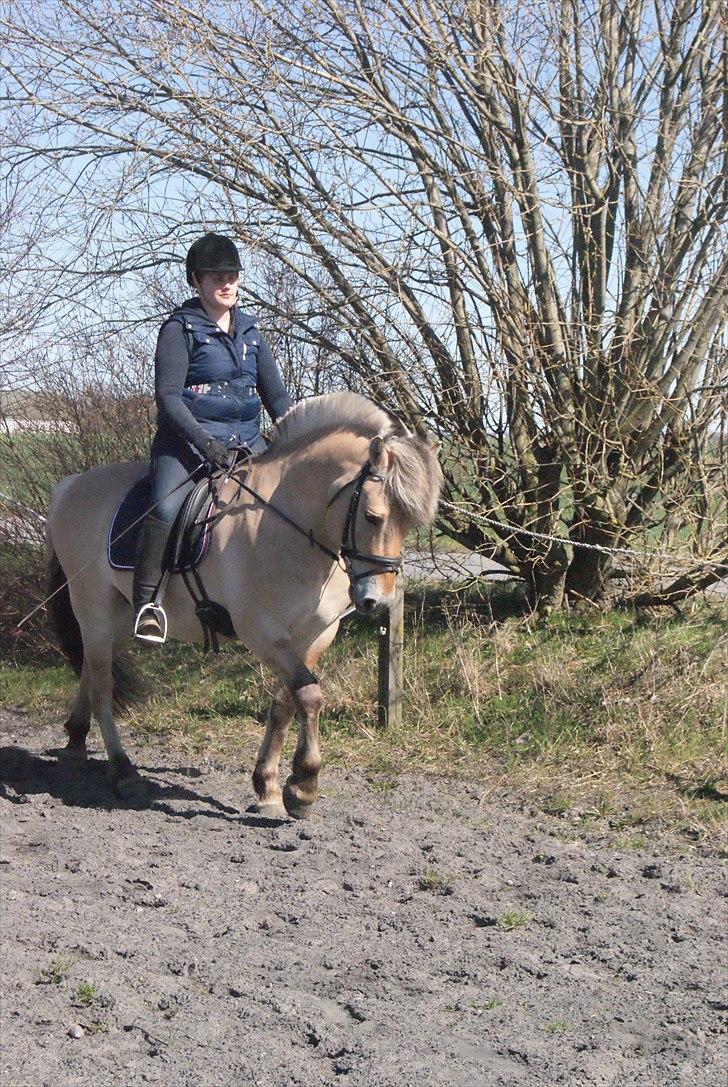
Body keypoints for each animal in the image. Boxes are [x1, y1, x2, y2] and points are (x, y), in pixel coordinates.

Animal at [48, 391, 445, 817]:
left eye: (410, 524)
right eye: (373, 517)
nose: (377, 600)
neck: (290, 529)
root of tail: (71, 485)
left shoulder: (315, 634)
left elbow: (285, 702)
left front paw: (269, 786)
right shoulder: (262, 633)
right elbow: (310, 695)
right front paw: (303, 786)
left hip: (119, 617)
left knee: (92, 667)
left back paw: (76, 737)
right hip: (93, 606)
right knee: (102, 686)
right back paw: (123, 772)